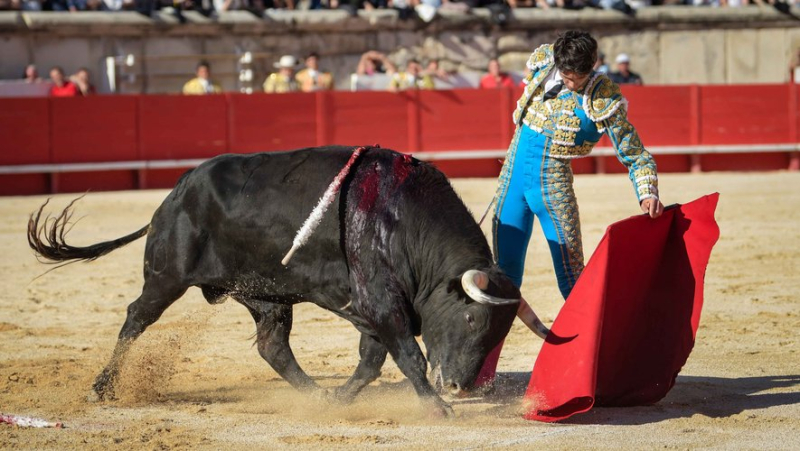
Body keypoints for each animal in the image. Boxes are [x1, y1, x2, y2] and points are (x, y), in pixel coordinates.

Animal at [28, 146, 548, 416]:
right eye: (470, 318)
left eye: (500, 333)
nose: (461, 386)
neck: (403, 220)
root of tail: (175, 193)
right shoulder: (381, 302)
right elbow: (408, 357)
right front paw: (437, 408)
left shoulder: (369, 308)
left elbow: (371, 360)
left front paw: (339, 398)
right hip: (165, 276)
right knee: (136, 319)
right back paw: (102, 388)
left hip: (266, 294)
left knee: (272, 345)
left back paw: (315, 393)